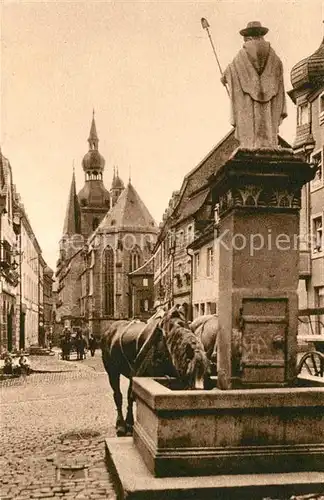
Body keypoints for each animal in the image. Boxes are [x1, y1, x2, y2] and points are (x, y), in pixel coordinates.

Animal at [101, 304, 210, 438]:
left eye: (207, 373)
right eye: (190, 373)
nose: (199, 392)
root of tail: (109, 330)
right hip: (112, 371)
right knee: (118, 395)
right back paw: (121, 425)